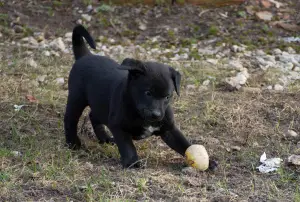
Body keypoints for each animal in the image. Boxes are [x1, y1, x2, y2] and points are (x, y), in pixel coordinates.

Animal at [64, 24, 193, 168]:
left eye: (167, 97)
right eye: (148, 93)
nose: (157, 115)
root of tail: (85, 55)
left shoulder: (169, 129)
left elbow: (183, 144)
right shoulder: (118, 127)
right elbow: (128, 147)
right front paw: (133, 163)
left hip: (99, 104)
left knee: (93, 116)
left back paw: (105, 139)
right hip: (76, 98)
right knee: (70, 119)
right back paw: (73, 143)